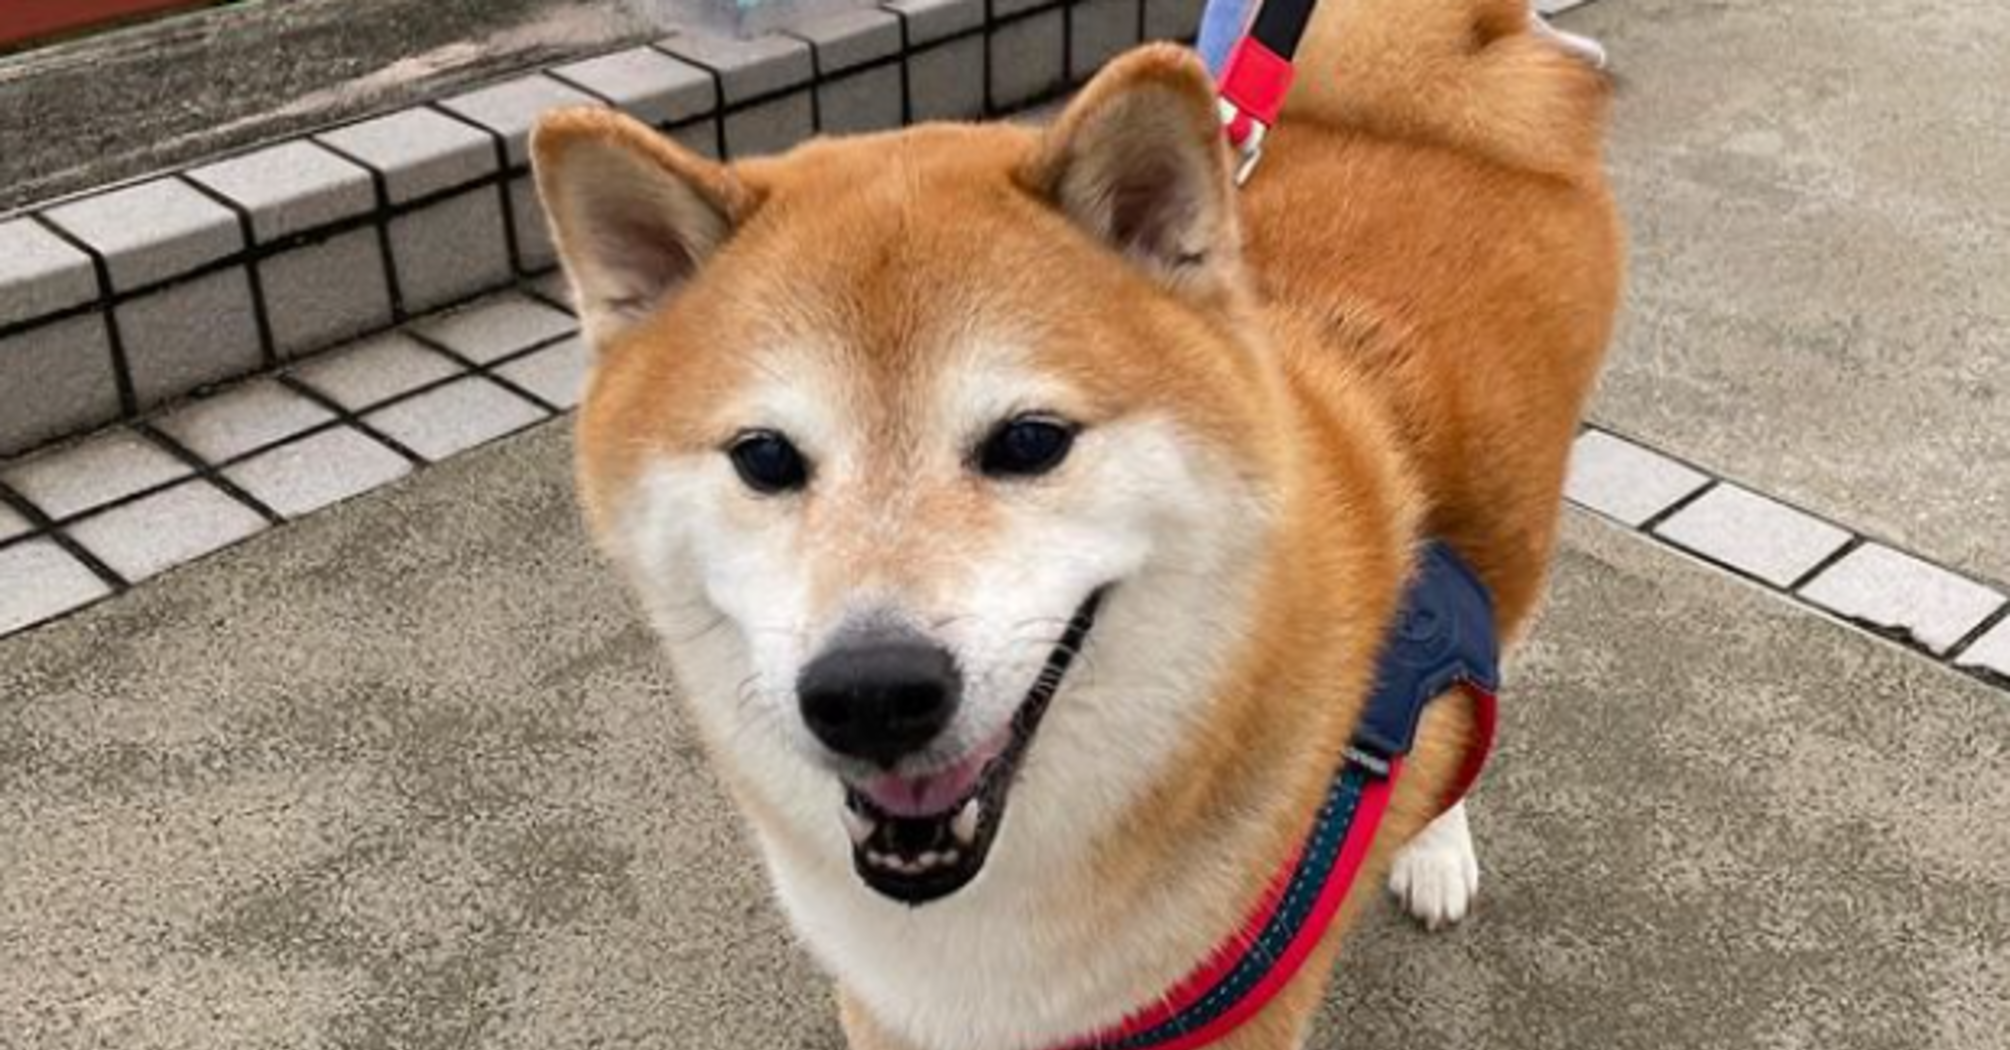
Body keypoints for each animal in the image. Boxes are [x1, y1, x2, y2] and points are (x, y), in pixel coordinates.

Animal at [530, 0, 1616, 1037]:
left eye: (1028, 441)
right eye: (765, 458)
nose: (872, 693)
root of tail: (1429, 97)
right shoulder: (884, 1002)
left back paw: (1435, 842)